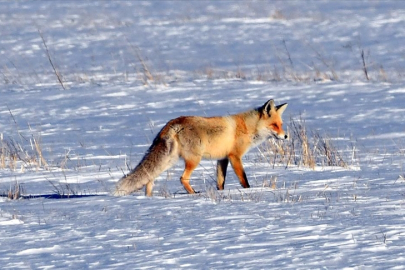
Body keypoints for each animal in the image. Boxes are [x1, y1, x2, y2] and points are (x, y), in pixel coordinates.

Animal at [112, 99, 286, 196]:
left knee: (149, 178)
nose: (286, 137)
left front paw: (220, 194)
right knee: (182, 178)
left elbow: (220, 182)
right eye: (274, 125)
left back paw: (148, 199)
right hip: (194, 159)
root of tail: (172, 123)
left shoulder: (222, 159)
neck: (247, 128)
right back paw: (193, 194)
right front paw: (249, 192)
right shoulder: (235, 156)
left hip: (169, 160)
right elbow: (244, 180)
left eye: (281, 125)